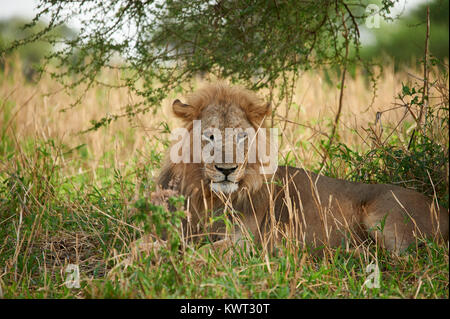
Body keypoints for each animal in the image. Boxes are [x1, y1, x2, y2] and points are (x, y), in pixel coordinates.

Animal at [156, 84, 448, 254]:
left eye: (241, 137)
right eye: (210, 136)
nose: (226, 169)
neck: (210, 195)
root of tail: (442, 208)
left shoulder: (244, 243)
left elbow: (200, 254)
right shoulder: (181, 229)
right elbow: (156, 244)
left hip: (383, 218)